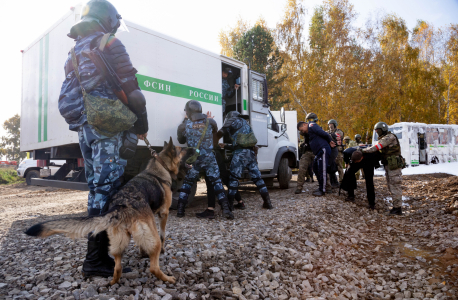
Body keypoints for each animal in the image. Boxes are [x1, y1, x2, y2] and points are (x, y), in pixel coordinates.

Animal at [25, 137, 193, 284]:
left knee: (117, 268)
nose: (193, 148)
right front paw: (162, 250)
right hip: (150, 240)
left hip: (119, 243)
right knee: (153, 267)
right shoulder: (163, 214)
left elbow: (142, 244)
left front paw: (142, 252)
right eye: (181, 149)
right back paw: (168, 278)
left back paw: (112, 281)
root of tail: (121, 206)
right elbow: (164, 234)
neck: (160, 166)